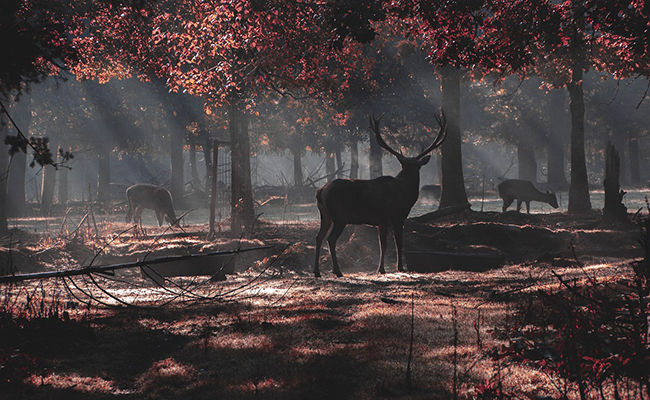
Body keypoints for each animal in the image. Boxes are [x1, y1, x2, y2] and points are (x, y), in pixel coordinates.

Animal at [312, 111, 446, 276]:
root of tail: (320, 191)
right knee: (330, 239)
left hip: (325, 215)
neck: (407, 193)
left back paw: (317, 271)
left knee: (318, 237)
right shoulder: (398, 217)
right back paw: (337, 271)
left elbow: (383, 244)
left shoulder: (381, 222)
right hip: (340, 215)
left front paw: (381, 269)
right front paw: (400, 267)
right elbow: (398, 243)